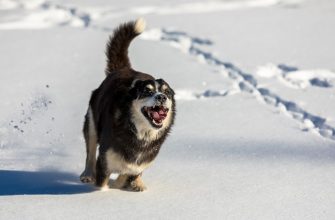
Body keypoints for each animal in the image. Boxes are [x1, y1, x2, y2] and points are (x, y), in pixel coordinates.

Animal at [80, 18, 177, 191]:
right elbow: (103, 182)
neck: (141, 134)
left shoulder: (140, 163)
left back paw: (137, 184)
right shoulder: (104, 162)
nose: (161, 97)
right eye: (147, 91)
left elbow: (129, 173)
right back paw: (87, 174)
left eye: (167, 92)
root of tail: (123, 69)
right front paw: (103, 192)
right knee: (90, 152)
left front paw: (128, 184)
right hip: (91, 123)